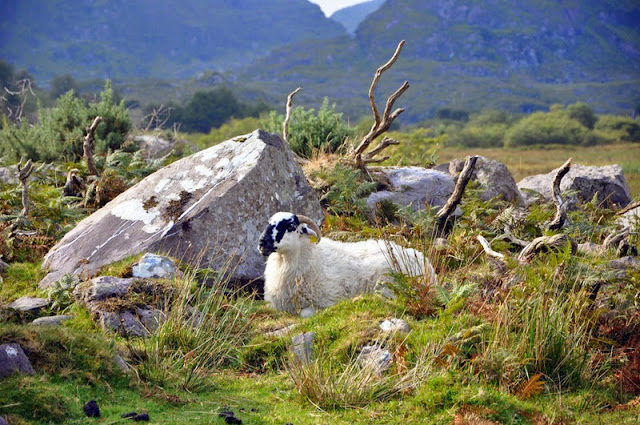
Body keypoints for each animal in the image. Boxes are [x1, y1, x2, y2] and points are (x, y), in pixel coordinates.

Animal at [258, 210, 438, 316]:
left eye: (290, 226)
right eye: (269, 223)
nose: (261, 243)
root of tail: (423, 260)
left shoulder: (324, 301)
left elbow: (305, 313)